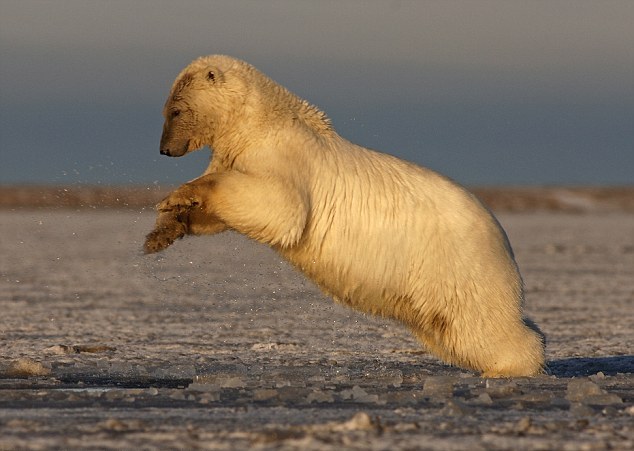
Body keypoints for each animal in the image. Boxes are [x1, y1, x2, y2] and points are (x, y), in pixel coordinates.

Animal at [144, 54, 544, 376]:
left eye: (175, 110)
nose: (164, 150)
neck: (258, 122)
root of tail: (501, 235)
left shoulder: (284, 158)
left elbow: (277, 207)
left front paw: (178, 196)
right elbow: (221, 215)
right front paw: (160, 232)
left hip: (457, 264)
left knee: (483, 323)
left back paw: (514, 366)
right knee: (453, 331)